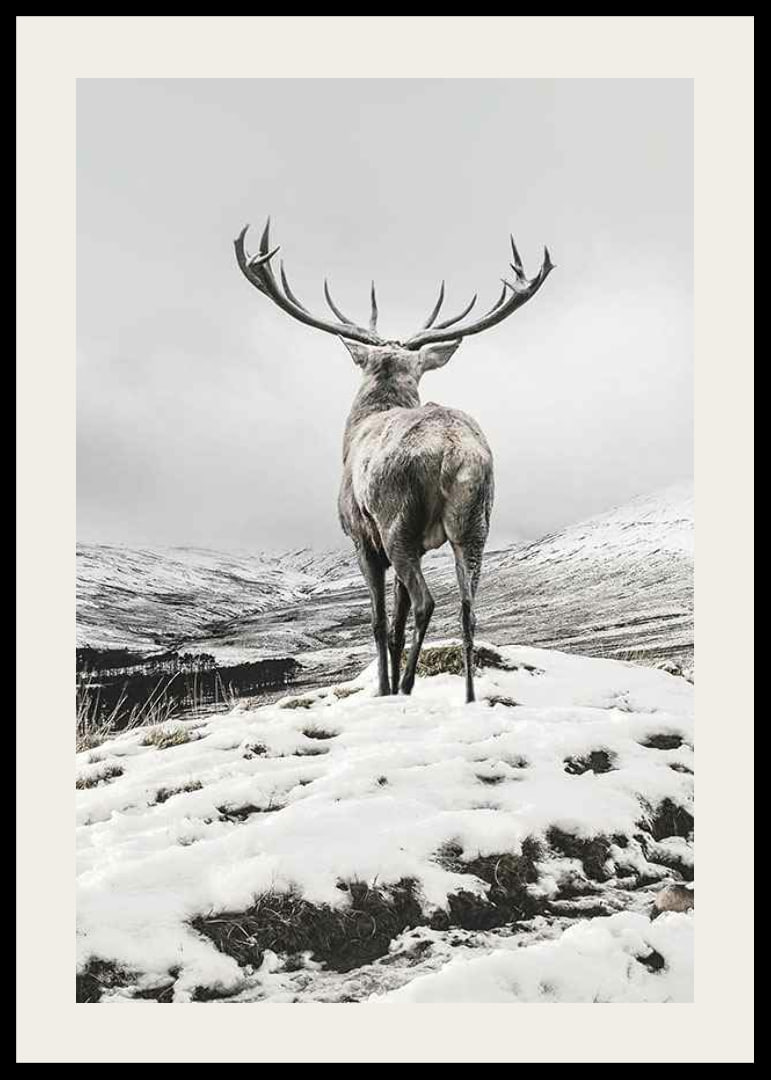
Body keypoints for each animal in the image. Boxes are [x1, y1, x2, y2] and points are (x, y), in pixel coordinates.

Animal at [235, 220, 553, 703]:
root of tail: (452, 449)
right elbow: (397, 623)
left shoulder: (361, 538)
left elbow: (381, 621)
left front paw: (383, 689)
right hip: (475, 521)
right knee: (468, 608)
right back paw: (467, 697)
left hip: (396, 521)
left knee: (427, 602)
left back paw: (404, 687)